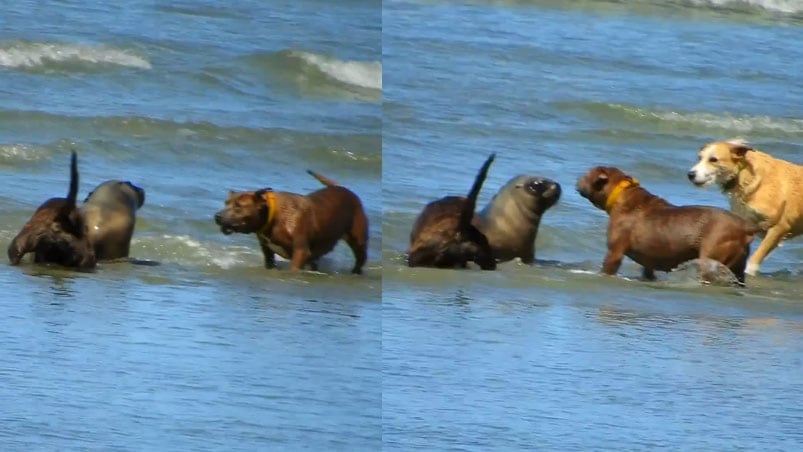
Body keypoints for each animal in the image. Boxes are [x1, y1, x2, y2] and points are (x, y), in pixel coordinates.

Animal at [212, 170, 370, 274]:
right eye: (226, 203)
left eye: (238, 206)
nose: (217, 216)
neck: (272, 217)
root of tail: (343, 188)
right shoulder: (267, 251)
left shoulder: (300, 251)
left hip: (358, 239)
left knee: (360, 257)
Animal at [576, 166, 760, 284]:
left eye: (586, 175)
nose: (577, 179)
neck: (621, 194)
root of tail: (744, 227)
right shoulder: (648, 262)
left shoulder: (614, 252)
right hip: (738, 264)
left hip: (713, 255)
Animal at [688, 140, 803, 276]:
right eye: (699, 158)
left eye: (713, 159)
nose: (690, 174)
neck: (744, 175)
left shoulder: (780, 227)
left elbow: (754, 259)